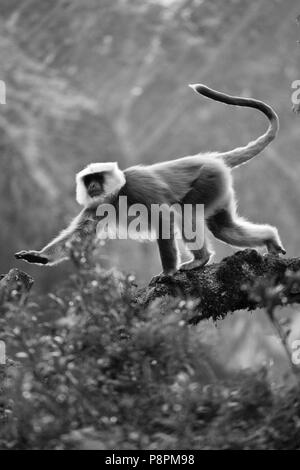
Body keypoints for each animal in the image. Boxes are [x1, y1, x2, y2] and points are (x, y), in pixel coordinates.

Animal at [15, 83, 284, 280]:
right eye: (88, 179)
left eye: (97, 177)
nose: (92, 186)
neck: (118, 192)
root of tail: (212, 158)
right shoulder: (97, 205)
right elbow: (79, 237)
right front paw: (40, 256)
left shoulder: (138, 188)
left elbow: (164, 219)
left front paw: (168, 272)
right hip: (219, 188)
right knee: (223, 228)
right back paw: (270, 239)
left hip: (208, 180)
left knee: (186, 213)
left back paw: (200, 259)